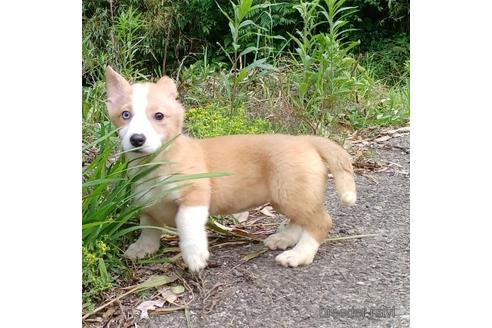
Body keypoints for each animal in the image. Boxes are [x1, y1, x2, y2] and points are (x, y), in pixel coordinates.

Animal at [105, 66, 356, 272]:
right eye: (125, 115)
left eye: (159, 116)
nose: (137, 139)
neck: (155, 163)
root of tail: (306, 140)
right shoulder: (146, 203)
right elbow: (148, 228)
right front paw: (143, 248)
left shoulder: (195, 197)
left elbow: (187, 226)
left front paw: (195, 256)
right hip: (286, 197)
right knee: (299, 220)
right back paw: (284, 239)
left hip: (292, 193)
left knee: (320, 222)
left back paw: (299, 254)